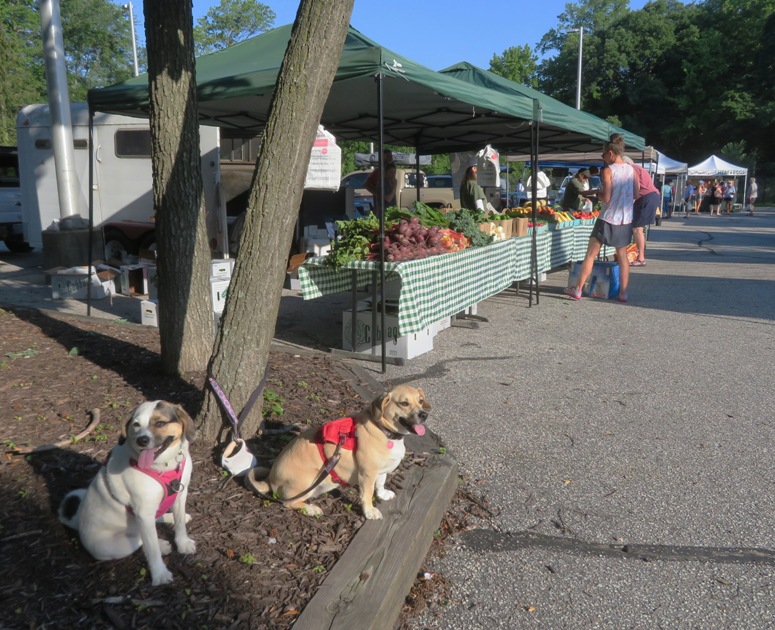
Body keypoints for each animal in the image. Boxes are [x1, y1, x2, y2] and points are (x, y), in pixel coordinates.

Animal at [58, 404, 197, 588]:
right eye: (136, 424)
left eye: (160, 423)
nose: (141, 440)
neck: (164, 467)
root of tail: (78, 522)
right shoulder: (143, 512)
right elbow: (151, 548)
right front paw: (159, 574)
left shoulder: (180, 493)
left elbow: (180, 523)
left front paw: (182, 542)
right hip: (116, 545)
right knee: (141, 539)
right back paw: (161, 544)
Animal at [247, 382, 430, 520]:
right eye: (404, 403)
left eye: (421, 401)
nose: (424, 415)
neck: (383, 430)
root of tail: (270, 478)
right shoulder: (367, 474)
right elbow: (367, 494)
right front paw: (369, 511)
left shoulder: (380, 471)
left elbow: (380, 483)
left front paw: (383, 494)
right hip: (308, 481)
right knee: (288, 502)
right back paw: (311, 509)